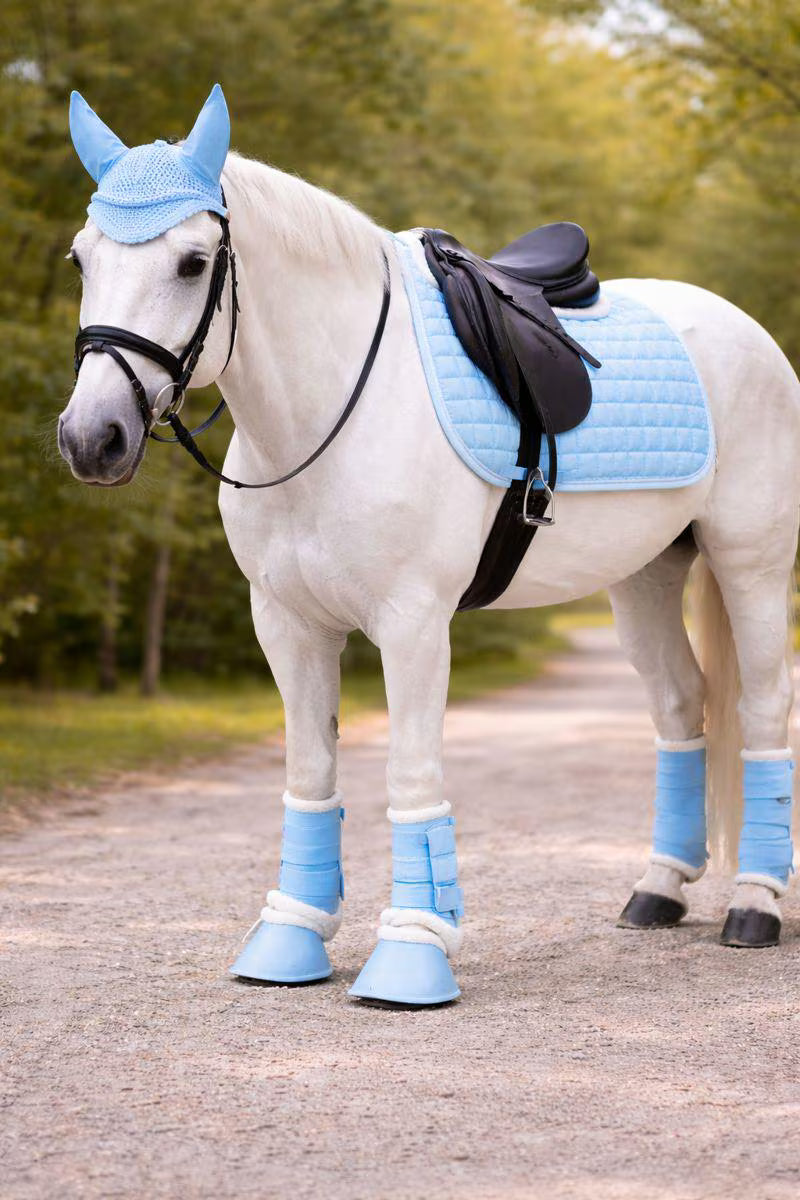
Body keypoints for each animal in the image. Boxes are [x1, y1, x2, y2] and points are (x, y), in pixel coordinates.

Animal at [58, 85, 800, 1006]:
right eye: (82, 260)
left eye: (194, 263)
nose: (93, 438)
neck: (334, 408)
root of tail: (745, 331)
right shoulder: (288, 625)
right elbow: (311, 776)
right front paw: (288, 942)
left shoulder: (412, 624)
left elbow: (409, 780)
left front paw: (411, 955)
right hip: (645, 576)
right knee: (680, 705)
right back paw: (658, 891)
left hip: (751, 564)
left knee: (762, 708)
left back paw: (754, 905)